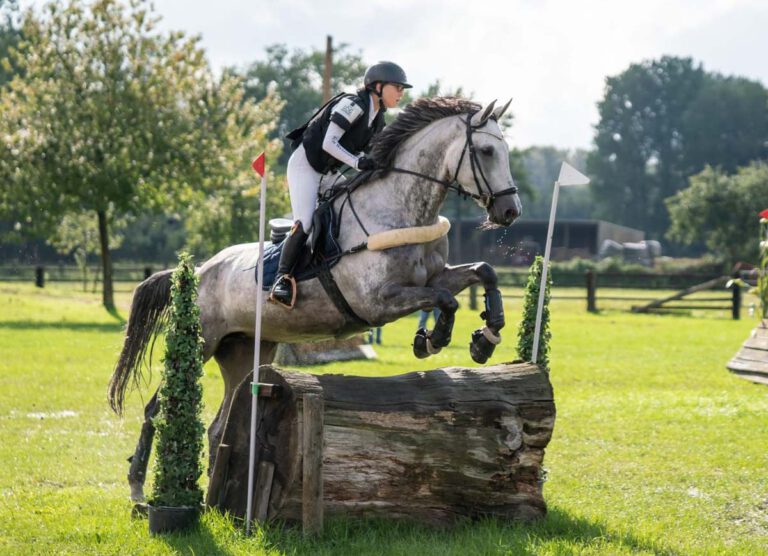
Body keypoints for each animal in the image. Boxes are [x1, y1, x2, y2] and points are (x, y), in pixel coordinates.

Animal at [109, 97, 520, 502]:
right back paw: (138, 489)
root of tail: (200, 269)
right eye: (486, 151)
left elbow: (482, 271)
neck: (401, 210)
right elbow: (444, 300)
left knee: (217, 424)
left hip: (245, 351)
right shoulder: (378, 302)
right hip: (201, 341)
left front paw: (485, 338)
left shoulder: (435, 276)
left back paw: (214, 496)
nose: (509, 212)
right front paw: (432, 341)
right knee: (157, 409)